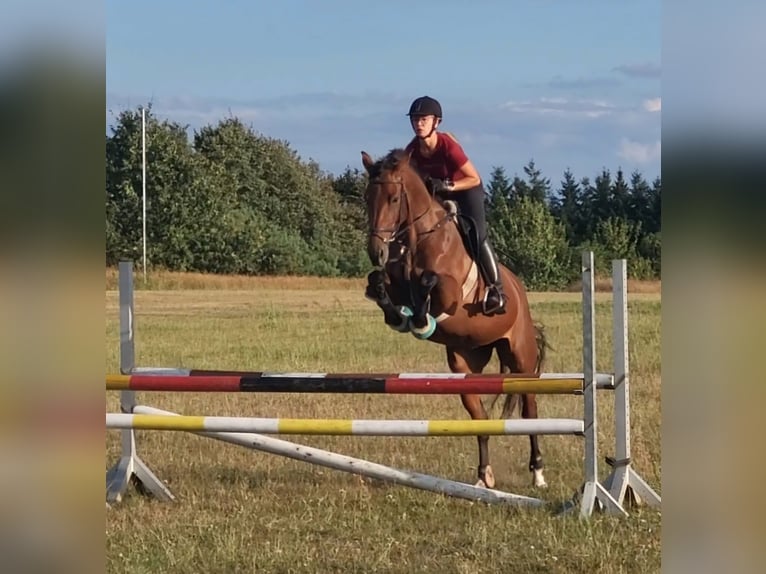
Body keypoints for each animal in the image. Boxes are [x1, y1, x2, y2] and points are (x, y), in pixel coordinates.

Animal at [362, 147, 552, 490]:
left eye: (394, 198)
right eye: (367, 197)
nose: (376, 252)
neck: (418, 239)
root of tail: (520, 291)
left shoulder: (449, 292)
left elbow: (429, 283)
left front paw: (420, 320)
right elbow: (378, 282)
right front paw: (399, 315)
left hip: (521, 359)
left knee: (530, 410)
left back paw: (538, 473)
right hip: (466, 364)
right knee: (481, 418)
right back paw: (483, 476)